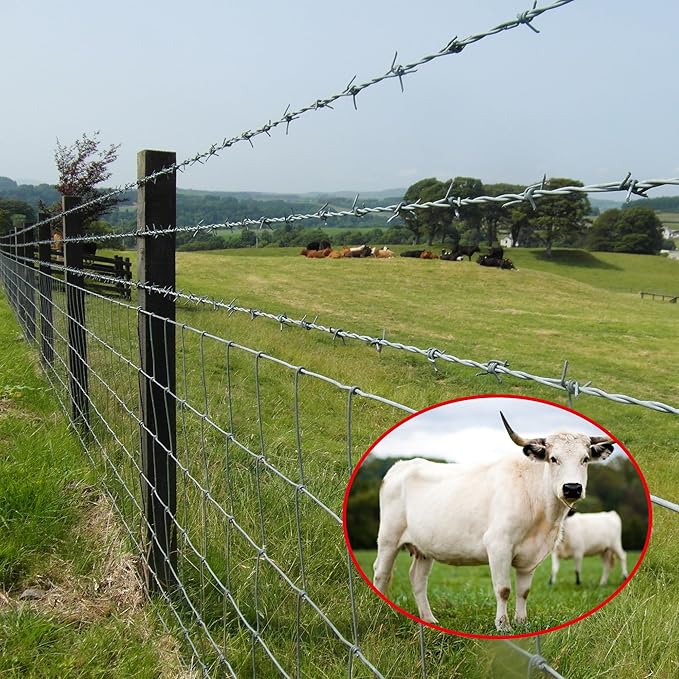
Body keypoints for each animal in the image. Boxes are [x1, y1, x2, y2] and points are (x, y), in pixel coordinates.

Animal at [372, 412, 614, 631]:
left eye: (585, 459)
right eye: (553, 459)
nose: (572, 488)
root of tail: (402, 465)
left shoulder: (531, 555)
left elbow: (523, 591)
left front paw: (522, 622)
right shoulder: (499, 545)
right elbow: (503, 589)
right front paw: (503, 626)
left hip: (424, 547)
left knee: (418, 579)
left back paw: (429, 619)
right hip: (388, 538)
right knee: (381, 573)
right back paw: (382, 611)